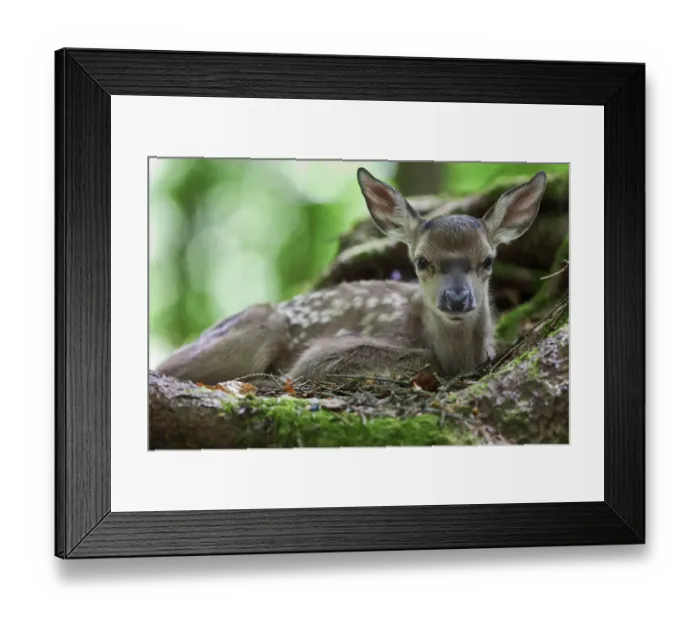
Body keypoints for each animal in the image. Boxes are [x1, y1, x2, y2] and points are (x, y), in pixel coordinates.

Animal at [155, 168, 547, 384]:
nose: (456, 298)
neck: (459, 357)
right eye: (421, 261)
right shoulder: (329, 351)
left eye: (488, 260)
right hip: (256, 329)